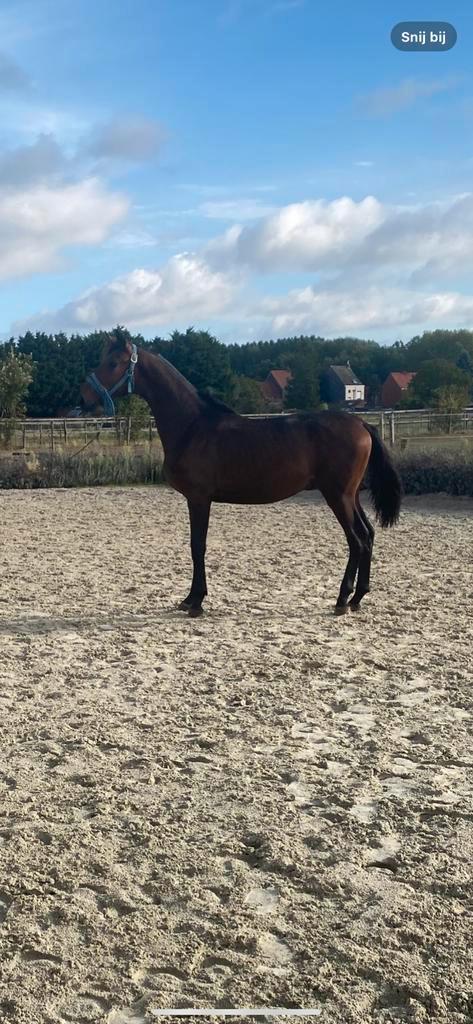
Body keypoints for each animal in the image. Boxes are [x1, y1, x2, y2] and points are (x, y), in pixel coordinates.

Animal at [80, 329, 402, 618]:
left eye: (113, 363)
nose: (84, 397)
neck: (193, 426)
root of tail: (360, 424)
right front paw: (190, 598)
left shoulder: (199, 498)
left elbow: (198, 545)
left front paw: (196, 602)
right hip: (350, 496)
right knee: (368, 535)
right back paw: (358, 597)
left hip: (338, 496)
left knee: (356, 540)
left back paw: (342, 599)